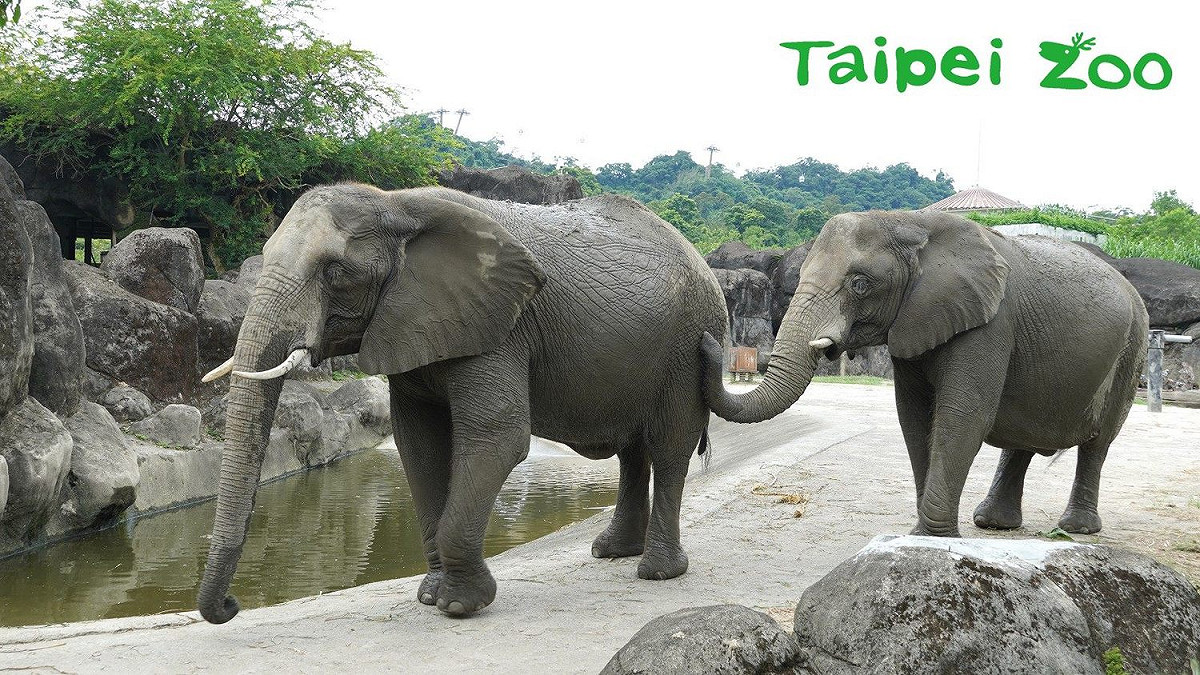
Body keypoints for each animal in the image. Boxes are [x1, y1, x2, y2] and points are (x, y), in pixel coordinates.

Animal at [197, 183, 727, 622]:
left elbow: (498, 437)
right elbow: (419, 443)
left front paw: (459, 606)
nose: (231, 605)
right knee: (633, 452)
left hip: (689, 345)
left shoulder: (500, 327)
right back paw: (612, 552)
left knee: (669, 448)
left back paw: (657, 571)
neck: (395, 204)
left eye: (335, 272)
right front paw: (431, 596)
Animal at [702, 210, 1148, 537]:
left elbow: (962, 414)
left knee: (1098, 443)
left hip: (1134, 348)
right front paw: (921, 536)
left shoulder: (990, 322)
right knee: (1023, 435)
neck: (912, 223)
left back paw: (1077, 528)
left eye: (860, 284)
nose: (707, 341)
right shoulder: (915, 322)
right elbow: (915, 416)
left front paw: (933, 538)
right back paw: (992, 523)